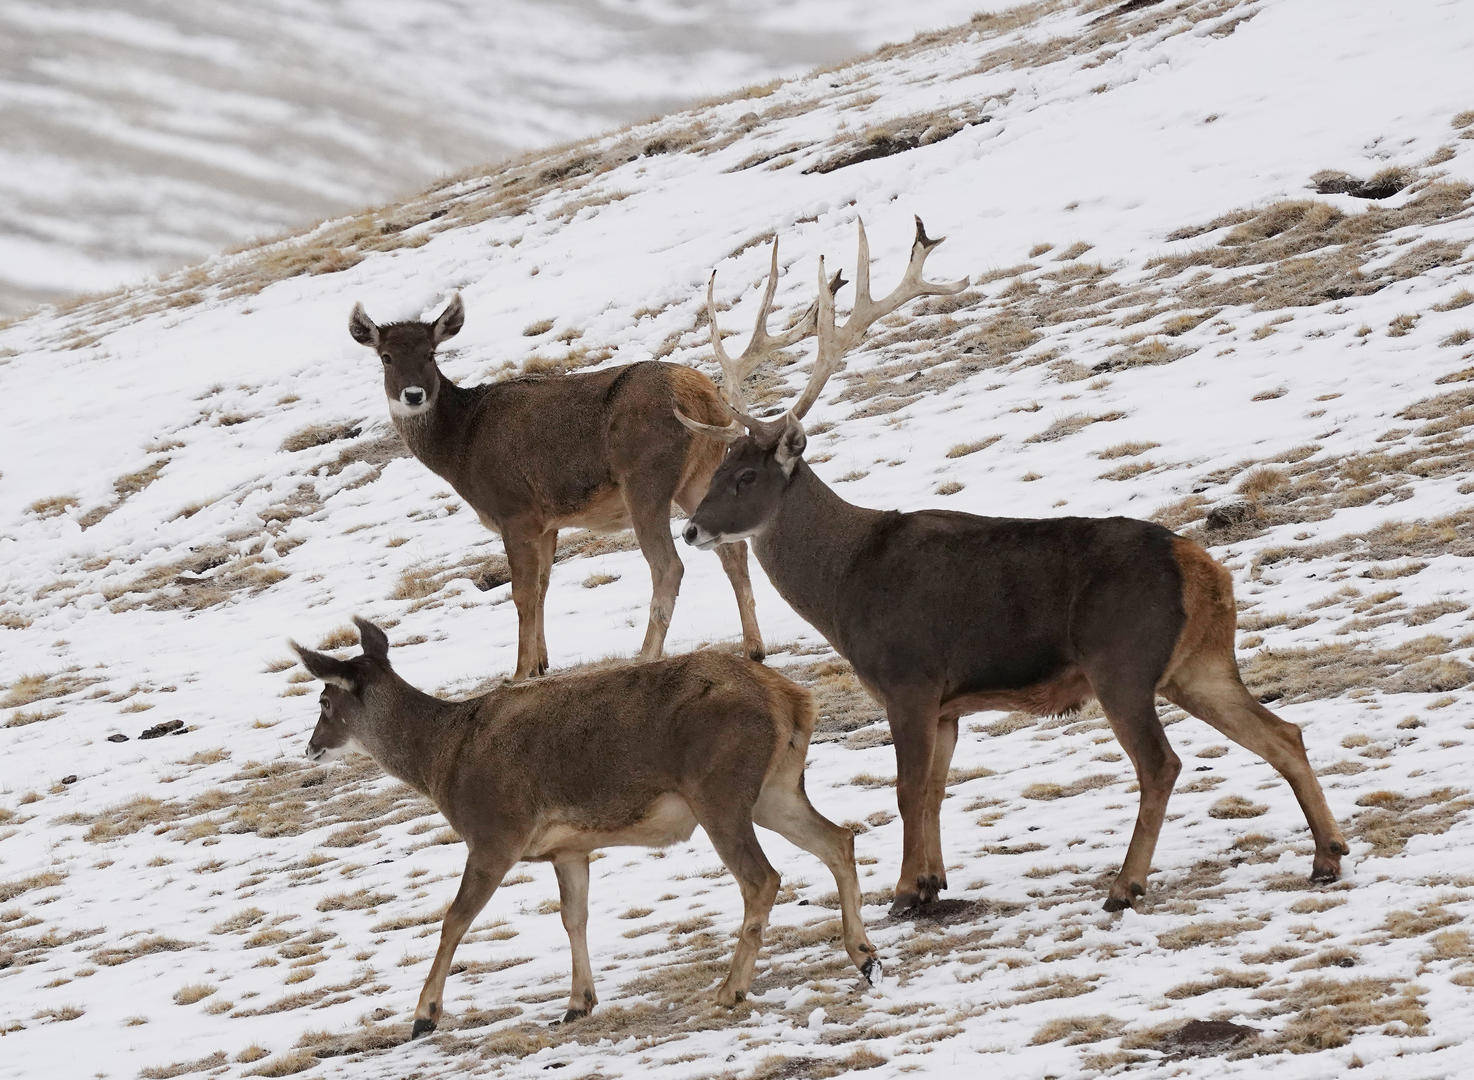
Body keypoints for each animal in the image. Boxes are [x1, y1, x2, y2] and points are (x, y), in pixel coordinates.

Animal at [293, 618, 878, 1031]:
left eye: (324, 700)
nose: (311, 747)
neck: (445, 761)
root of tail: (791, 697)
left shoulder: (495, 832)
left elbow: (455, 918)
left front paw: (424, 1015)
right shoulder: (568, 848)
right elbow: (574, 917)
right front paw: (578, 1002)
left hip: (720, 788)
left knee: (762, 877)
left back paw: (730, 989)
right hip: (775, 788)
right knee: (838, 838)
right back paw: (864, 955)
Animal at [343, 285, 795, 674]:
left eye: (431, 353)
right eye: (386, 356)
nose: (413, 395)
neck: (461, 448)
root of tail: (706, 396)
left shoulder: (515, 511)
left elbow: (522, 593)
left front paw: (520, 672)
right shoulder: (547, 522)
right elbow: (544, 585)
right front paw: (542, 663)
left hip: (645, 479)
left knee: (669, 565)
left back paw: (645, 656)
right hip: (697, 477)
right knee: (732, 550)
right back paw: (754, 648)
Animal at [678, 215, 1350, 913]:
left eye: (746, 476)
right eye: (718, 469)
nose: (691, 527)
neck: (845, 586)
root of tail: (1204, 570)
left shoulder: (910, 677)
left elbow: (906, 789)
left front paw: (904, 891)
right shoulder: (947, 705)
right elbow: (935, 790)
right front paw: (933, 882)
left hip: (1121, 661)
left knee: (1162, 763)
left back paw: (1125, 884)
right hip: (1199, 664)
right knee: (1283, 732)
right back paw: (1327, 855)